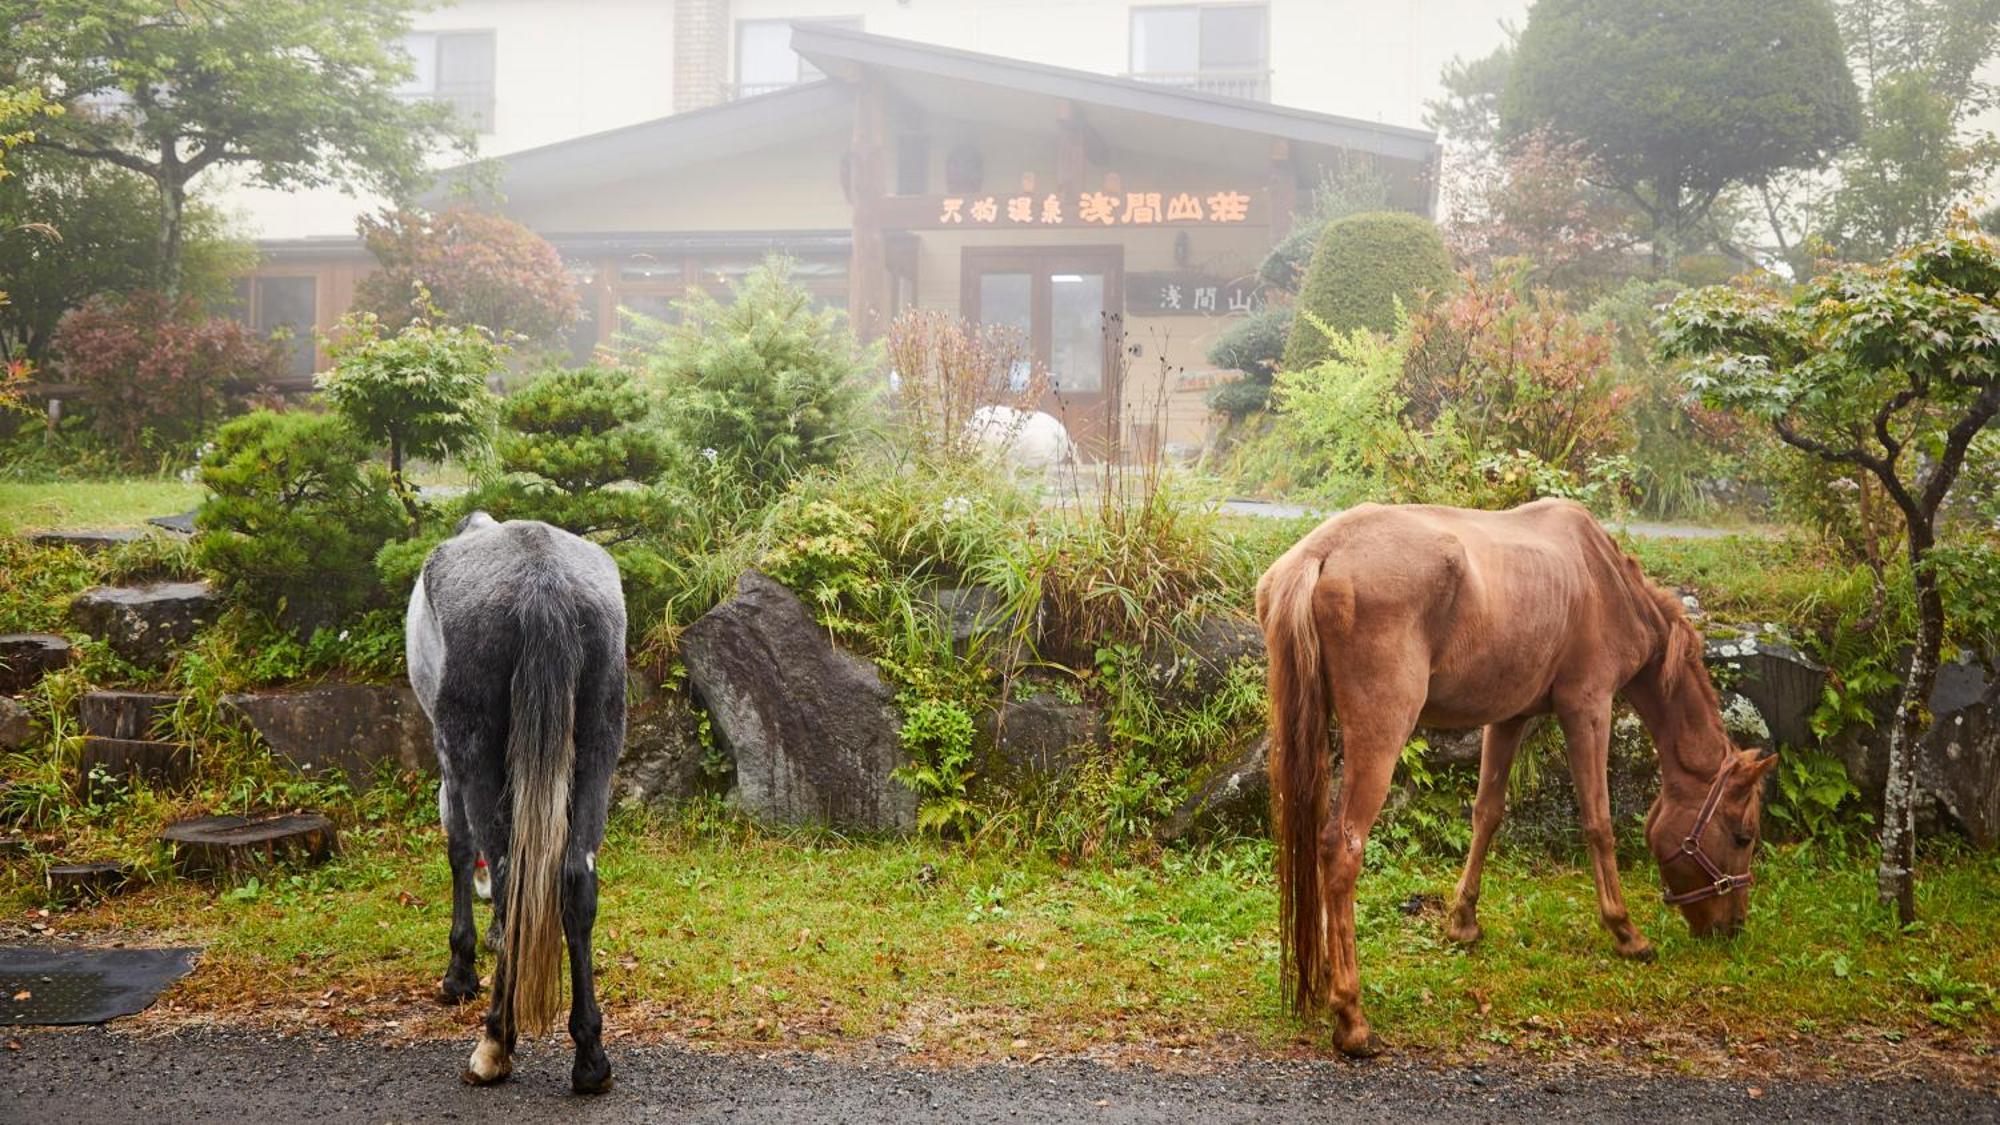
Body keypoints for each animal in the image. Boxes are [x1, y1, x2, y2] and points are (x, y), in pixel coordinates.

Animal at [402, 512, 620, 1088]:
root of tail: (543, 584)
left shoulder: (449, 757)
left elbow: (459, 849)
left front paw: (460, 971)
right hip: (597, 741)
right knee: (575, 883)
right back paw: (590, 1055)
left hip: (474, 747)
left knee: (508, 881)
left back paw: (495, 1041)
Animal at [1256, 498, 1776, 1048]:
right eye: (1742, 836)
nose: (1732, 928)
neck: (1604, 579)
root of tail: (1320, 554)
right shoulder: (1589, 708)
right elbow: (1599, 822)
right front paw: (1626, 932)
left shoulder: (1508, 719)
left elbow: (1487, 814)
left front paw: (1463, 922)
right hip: (1381, 734)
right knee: (1342, 847)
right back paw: (1351, 1015)